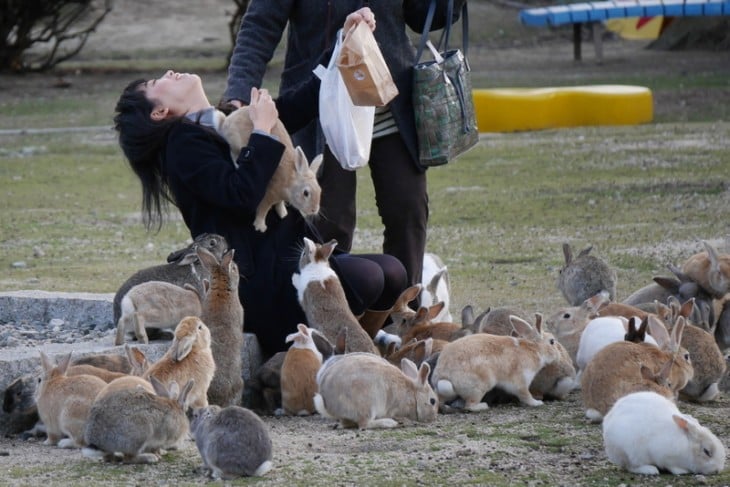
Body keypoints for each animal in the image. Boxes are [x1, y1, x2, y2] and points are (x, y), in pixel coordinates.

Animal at [430, 316, 560, 412]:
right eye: (552, 341)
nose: (558, 355)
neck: (533, 348)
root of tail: (444, 377)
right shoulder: (521, 381)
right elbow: (525, 395)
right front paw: (537, 403)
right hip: (480, 386)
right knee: (469, 406)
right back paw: (483, 406)